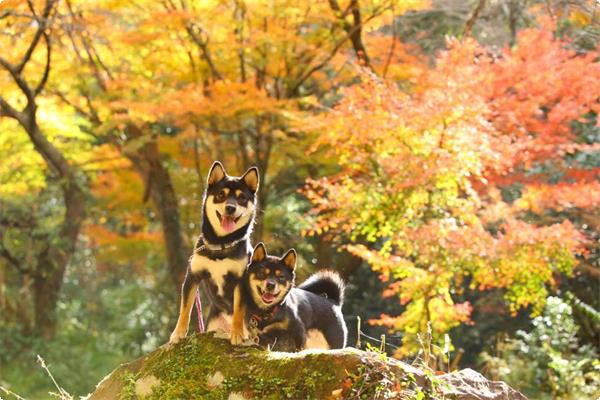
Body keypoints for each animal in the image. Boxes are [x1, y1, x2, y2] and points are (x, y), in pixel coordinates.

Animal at [171, 161, 260, 346]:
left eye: (242, 198)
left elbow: (238, 309)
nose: (230, 208)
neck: (221, 243)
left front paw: (237, 333)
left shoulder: (240, 280)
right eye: (221, 194)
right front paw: (178, 333)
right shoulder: (192, 276)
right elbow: (185, 309)